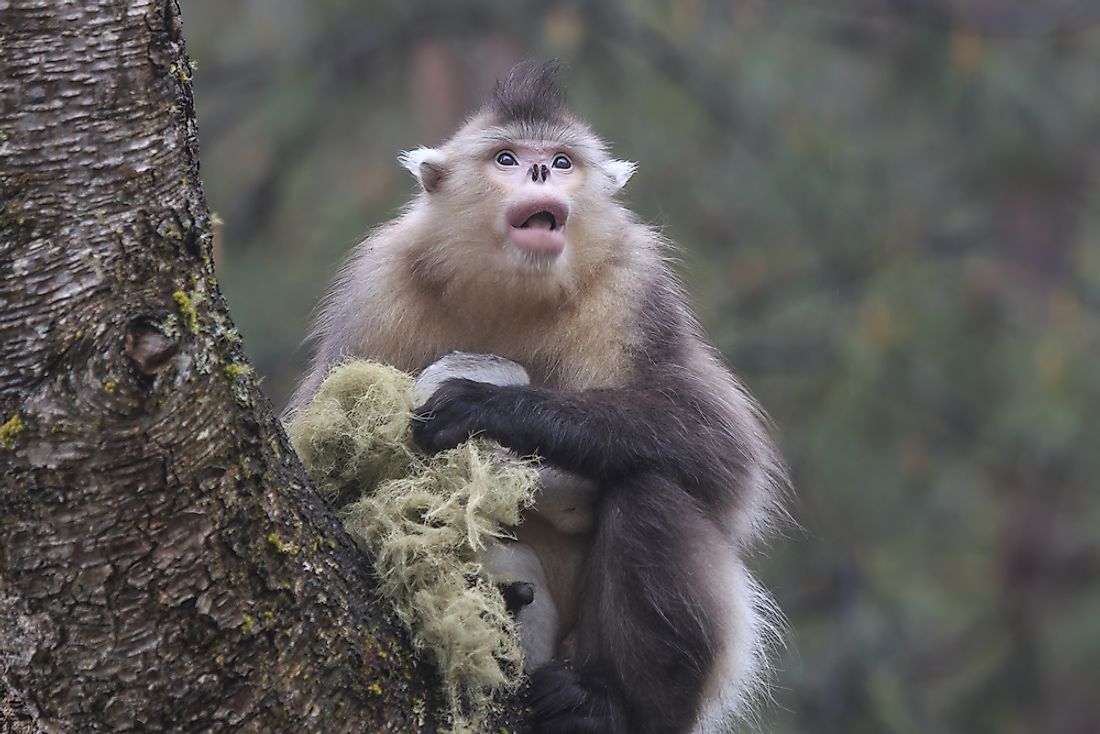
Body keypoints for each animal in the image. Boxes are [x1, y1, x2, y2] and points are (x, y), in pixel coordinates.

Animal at [288, 61, 787, 734]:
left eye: (560, 160)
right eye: (507, 158)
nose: (541, 174)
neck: (510, 291)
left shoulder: (635, 286)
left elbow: (723, 454)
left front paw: (487, 408)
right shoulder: (377, 289)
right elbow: (327, 468)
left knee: (650, 495)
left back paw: (603, 704)